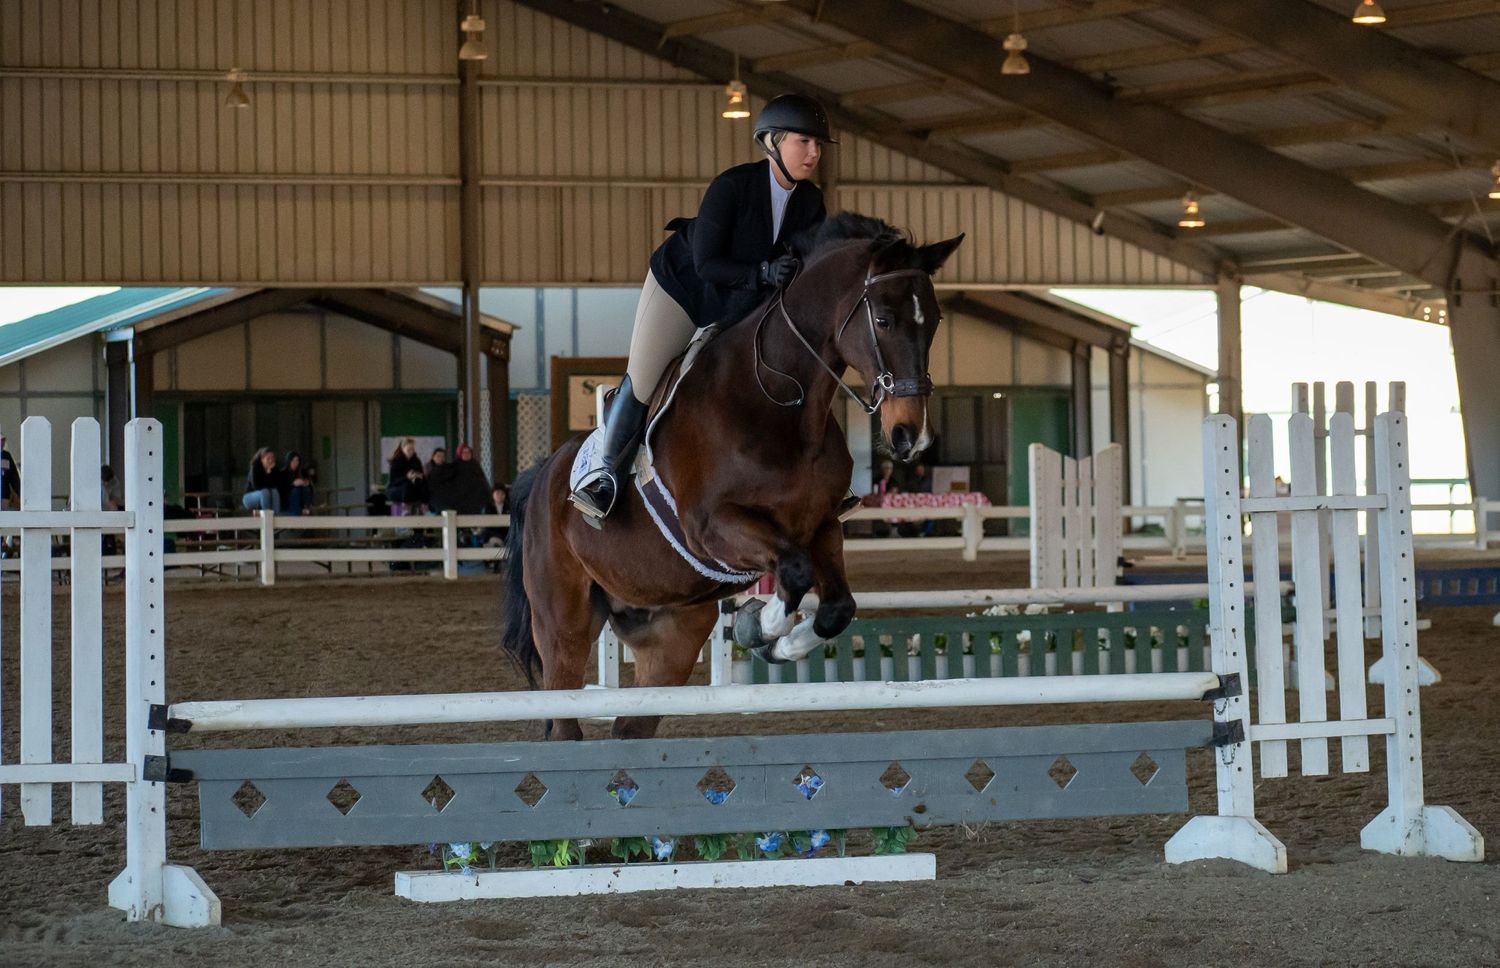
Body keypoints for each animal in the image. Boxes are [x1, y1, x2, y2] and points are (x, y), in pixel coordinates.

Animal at [501, 213, 964, 740]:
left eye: (935, 322)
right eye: (884, 320)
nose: (912, 436)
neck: (779, 403)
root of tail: (541, 476)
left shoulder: (821, 526)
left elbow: (836, 607)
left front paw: (771, 639)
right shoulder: (712, 528)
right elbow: (795, 572)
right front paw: (757, 627)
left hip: (671, 631)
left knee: (631, 727)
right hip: (563, 623)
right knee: (565, 716)